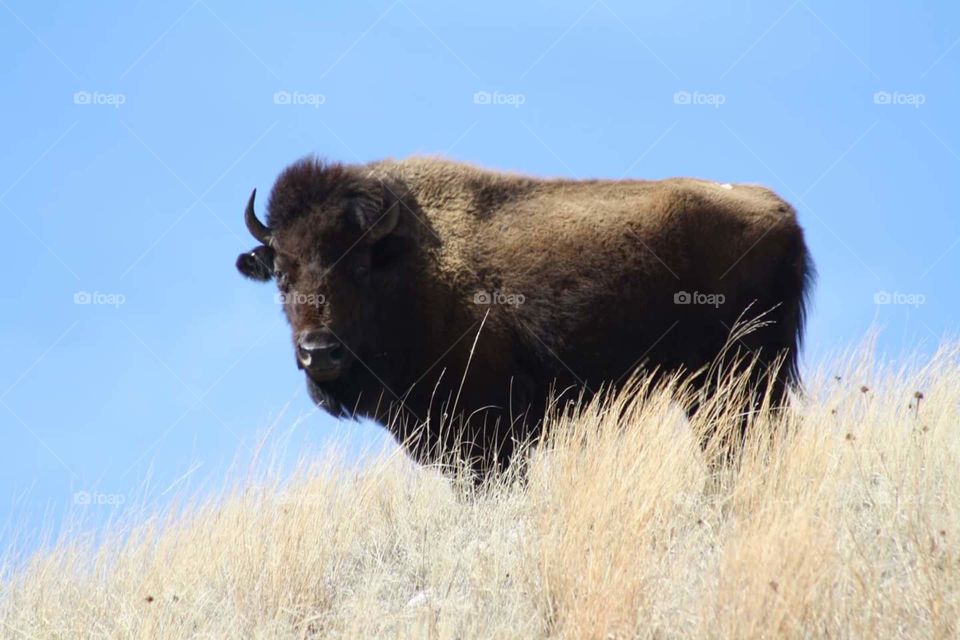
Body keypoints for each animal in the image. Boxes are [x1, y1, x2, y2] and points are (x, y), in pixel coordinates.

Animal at [237, 156, 813, 472]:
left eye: (357, 266)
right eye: (282, 274)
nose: (319, 352)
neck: (406, 264)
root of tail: (782, 213)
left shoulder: (487, 433)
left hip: (739, 378)